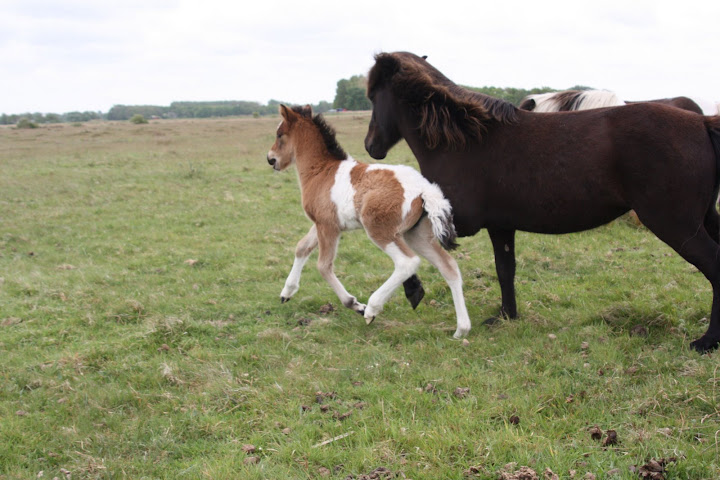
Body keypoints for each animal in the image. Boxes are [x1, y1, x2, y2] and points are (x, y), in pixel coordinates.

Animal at [266, 104, 472, 338]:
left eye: (279, 134)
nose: (271, 159)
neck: (321, 170)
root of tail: (424, 189)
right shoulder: (321, 223)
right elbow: (301, 248)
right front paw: (287, 292)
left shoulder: (328, 227)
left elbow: (324, 266)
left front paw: (355, 305)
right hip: (416, 234)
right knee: (449, 266)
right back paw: (461, 329)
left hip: (379, 229)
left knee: (407, 262)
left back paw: (372, 308)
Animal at [363, 51, 720, 352]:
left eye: (373, 96)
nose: (370, 146)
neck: (464, 140)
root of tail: (702, 123)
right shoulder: (500, 225)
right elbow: (505, 269)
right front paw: (506, 315)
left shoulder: (455, 219)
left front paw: (401, 295)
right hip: (704, 218)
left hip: (674, 224)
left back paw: (707, 342)